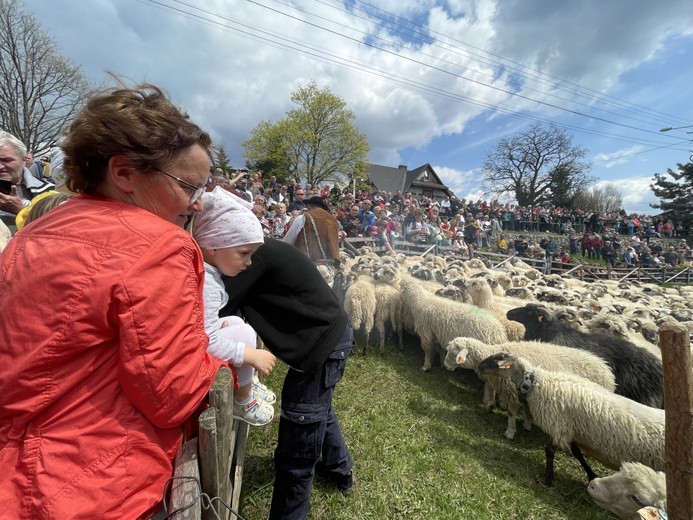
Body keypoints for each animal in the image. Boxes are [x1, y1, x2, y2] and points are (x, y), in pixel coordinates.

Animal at [446, 338, 612, 438]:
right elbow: (492, 391)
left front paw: (510, 432)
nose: (446, 366)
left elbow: (512, 413)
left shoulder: (514, 393)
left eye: (454, 353)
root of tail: (606, 369)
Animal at [478, 352, 664, 486]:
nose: (479, 366)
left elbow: (549, 451)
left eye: (496, 359)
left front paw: (548, 479)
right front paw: (591, 476)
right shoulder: (572, 430)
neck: (536, 383)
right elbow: (577, 453)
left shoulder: (558, 426)